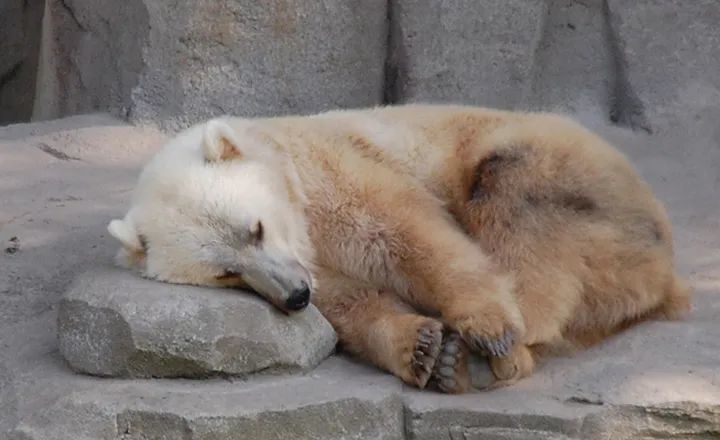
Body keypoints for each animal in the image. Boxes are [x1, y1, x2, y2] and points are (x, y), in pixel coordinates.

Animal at [108, 103, 692, 392]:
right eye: (226, 272)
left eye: (256, 228)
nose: (294, 295)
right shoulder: (315, 264)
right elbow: (351, 303)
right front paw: (422, 347)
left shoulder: (333, 169)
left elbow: (402, 232)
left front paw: (484, 328)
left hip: (567, 177)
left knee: (518, 209)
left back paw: (492, 352)